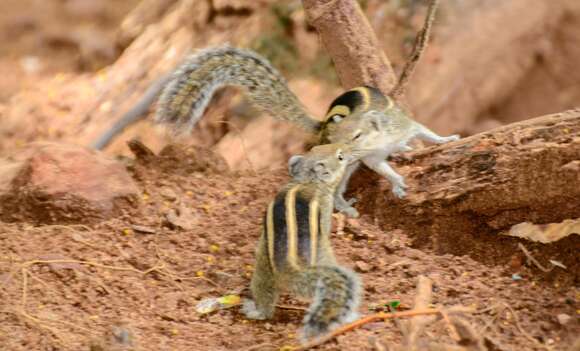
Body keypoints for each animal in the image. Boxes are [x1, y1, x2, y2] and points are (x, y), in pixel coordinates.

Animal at [156, 45, 460, 219]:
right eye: (338, 140)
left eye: (357, 136)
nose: (340, 151)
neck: (377, 140)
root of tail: (321, 125)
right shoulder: (369, 158)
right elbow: (383, 169)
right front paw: (396, 183)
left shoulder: (403, 126)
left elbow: (426, 132)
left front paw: (447, 139)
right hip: (344, 171)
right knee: (337, 191)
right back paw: (346, 207)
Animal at [242, 143, 360, 340]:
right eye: (340, 156)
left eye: (316, 147)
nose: (348, 148)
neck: (307, 180)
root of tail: (290, 271)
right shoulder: (325, 205)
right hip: (322, 254)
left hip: (263, 267)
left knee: (264, 296)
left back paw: (256, 311)